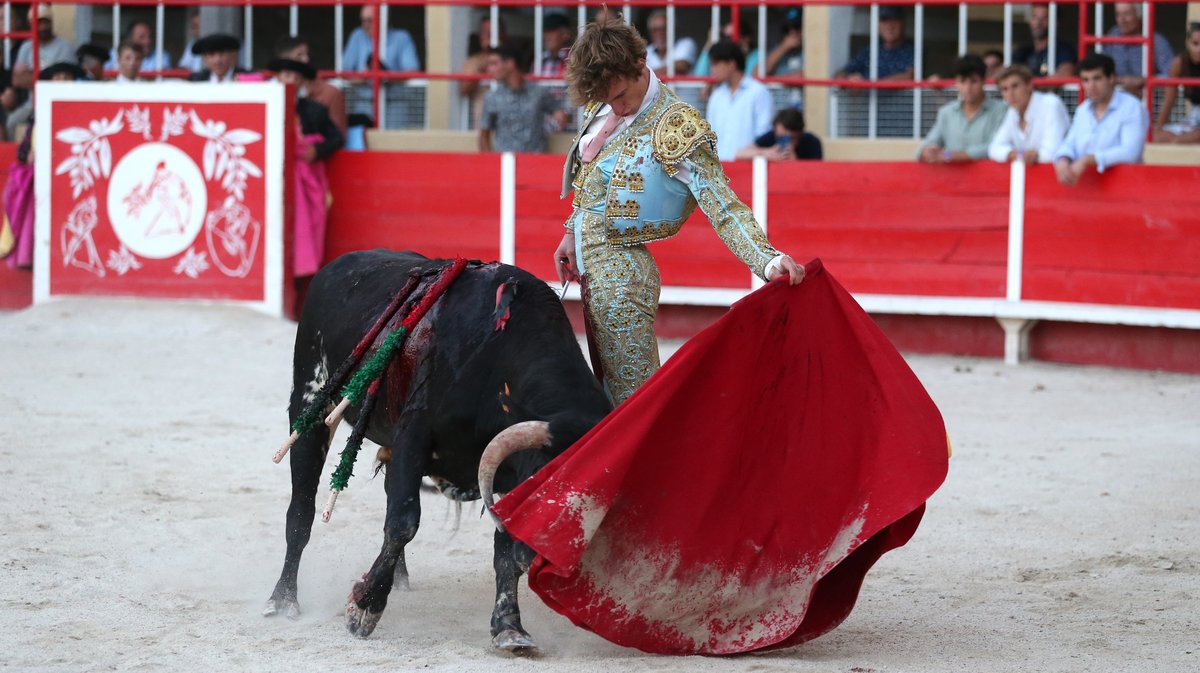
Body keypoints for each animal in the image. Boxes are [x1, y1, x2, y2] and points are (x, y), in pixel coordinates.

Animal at [266, 249, 614, 647]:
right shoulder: (415, 436)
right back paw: (283, 599)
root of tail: (337, 265)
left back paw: (399, 578)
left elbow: (502, 549)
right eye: (548, 490)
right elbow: (403, 522)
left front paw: (508, 626)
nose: (551, 562)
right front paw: (365, 606)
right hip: (310, 402)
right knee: (302, 510)